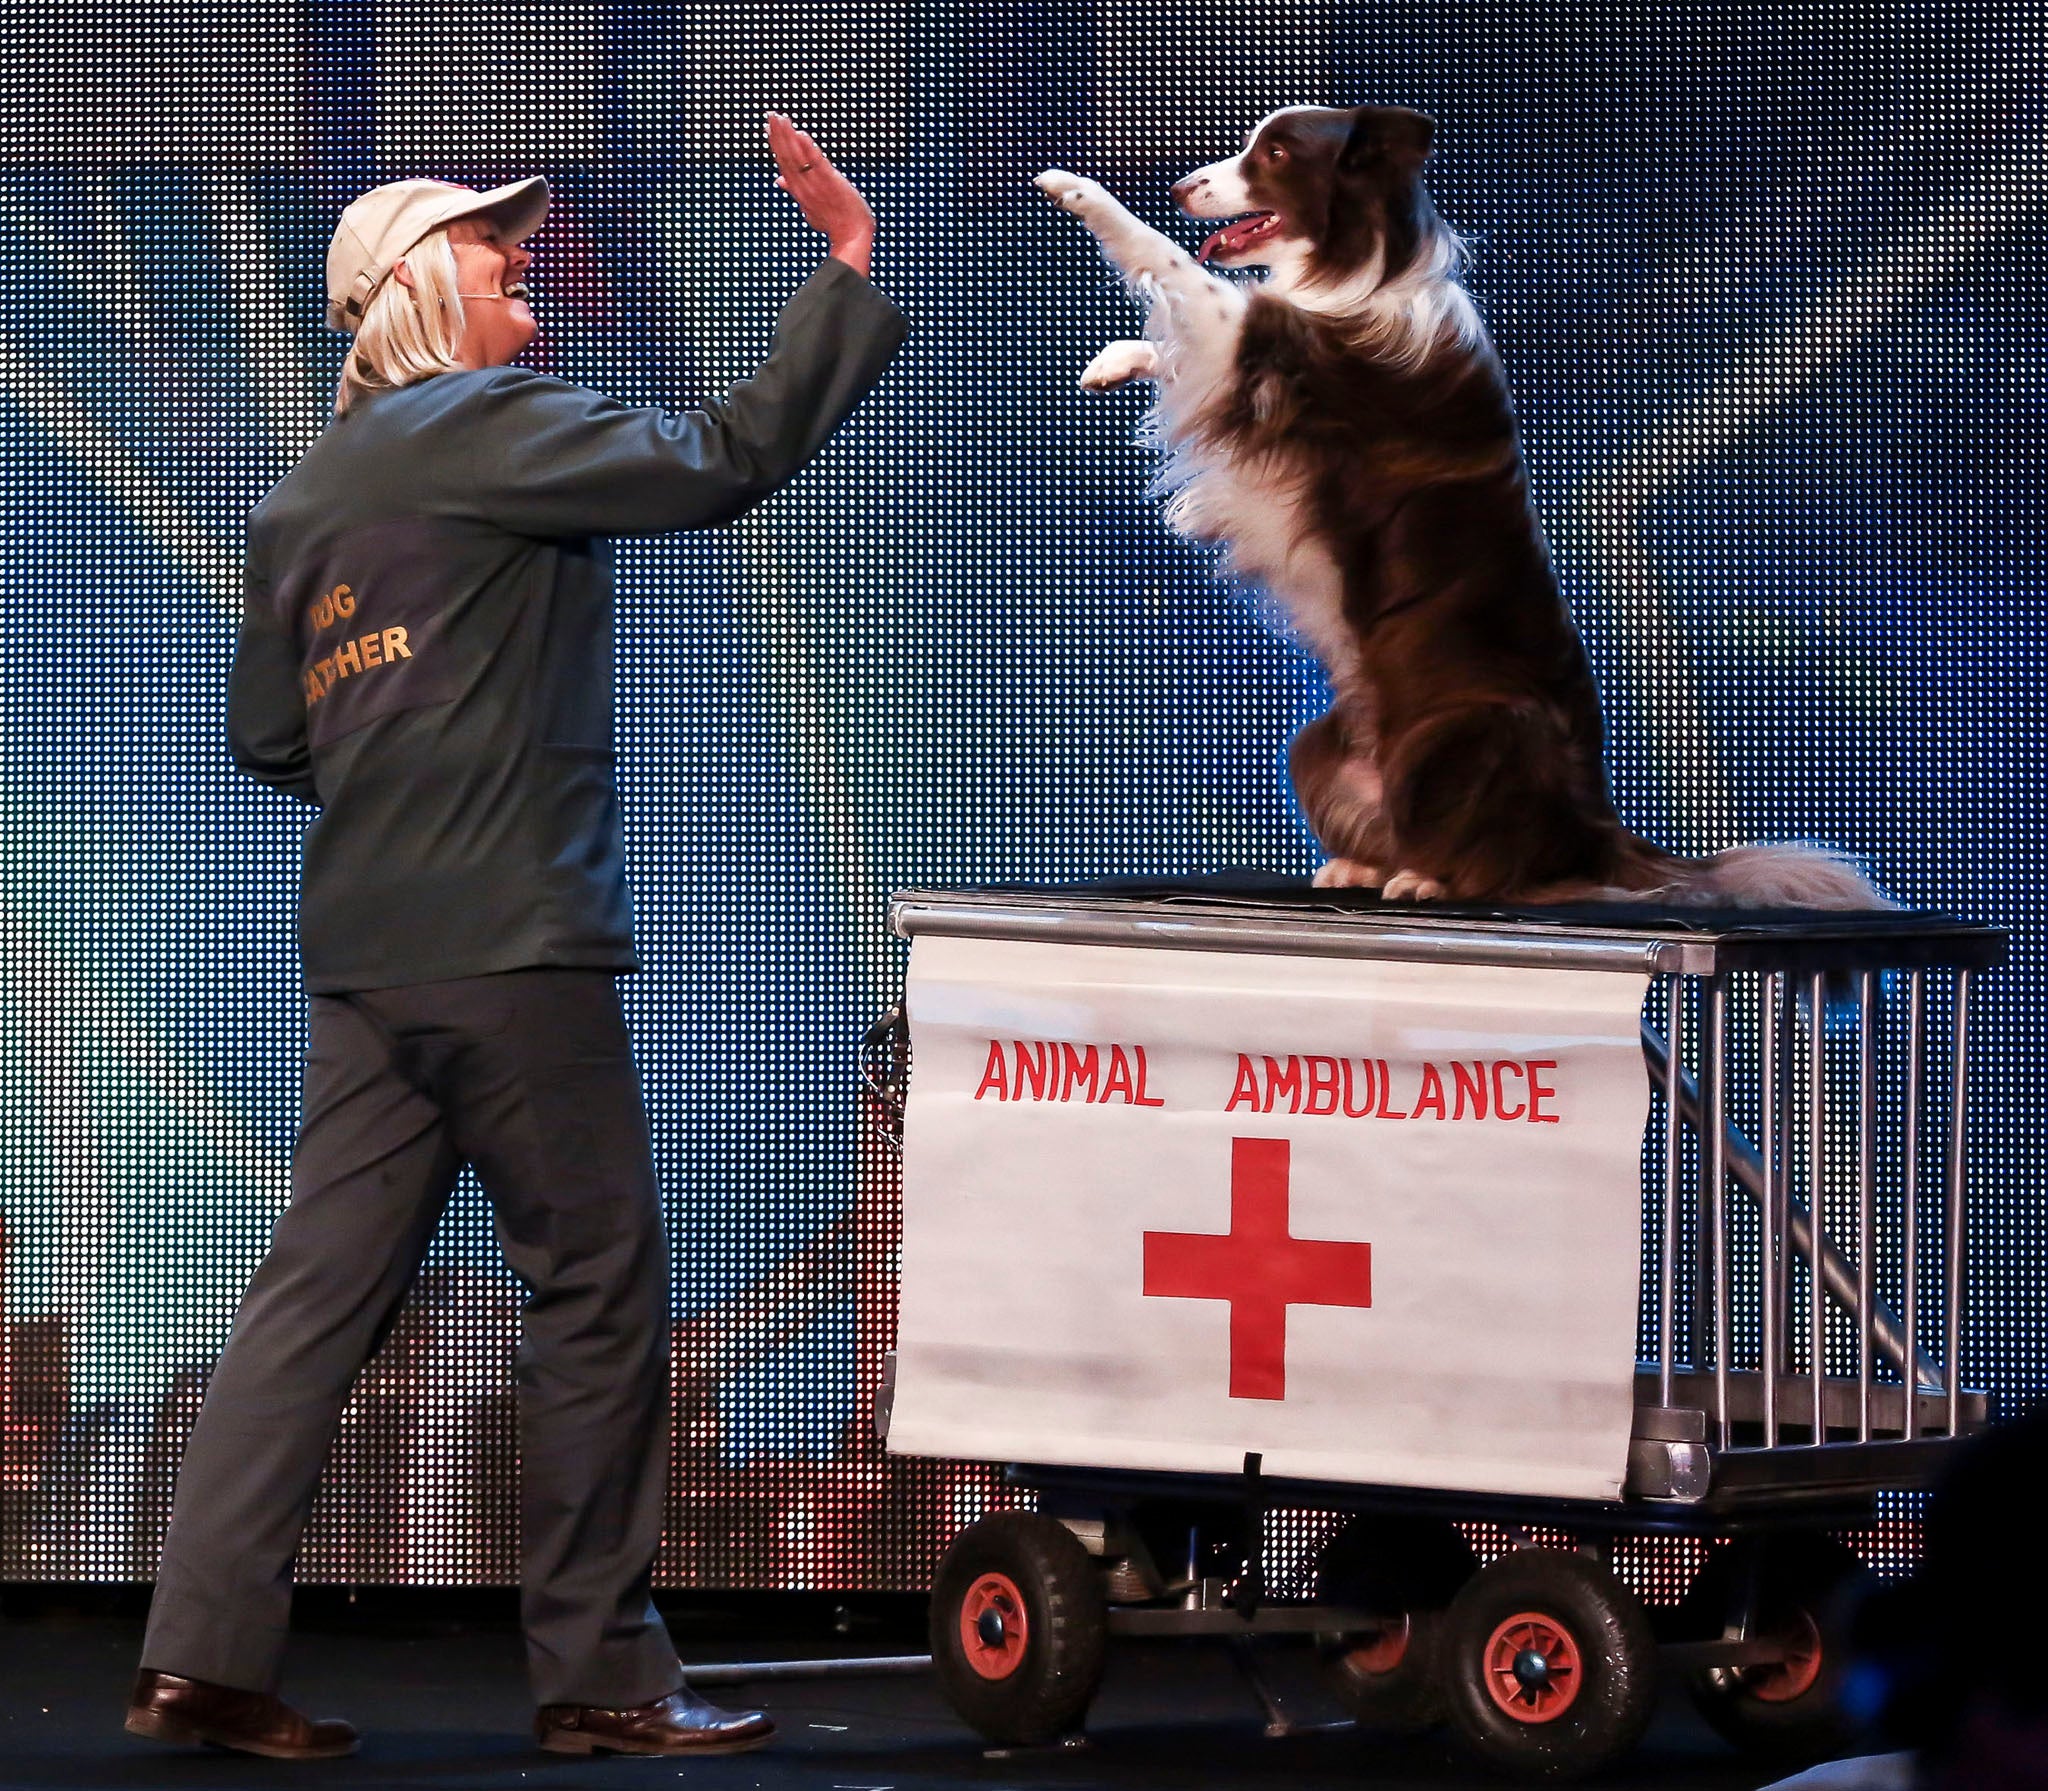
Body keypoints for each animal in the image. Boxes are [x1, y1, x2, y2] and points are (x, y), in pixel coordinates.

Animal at [1040, 108, 1884, 908]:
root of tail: (1601, 830)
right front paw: (1113, 360)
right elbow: (1181, 325)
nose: (1181, 187)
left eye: (1274, 154)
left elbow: (1180, 270)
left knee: (1501, 869)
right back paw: (1363, 865)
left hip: (1467, 734)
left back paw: (1431, 881)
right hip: (1319, 740)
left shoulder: (1278, 353)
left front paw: (1079, 190)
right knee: (1398, 828)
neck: (1362, 264)